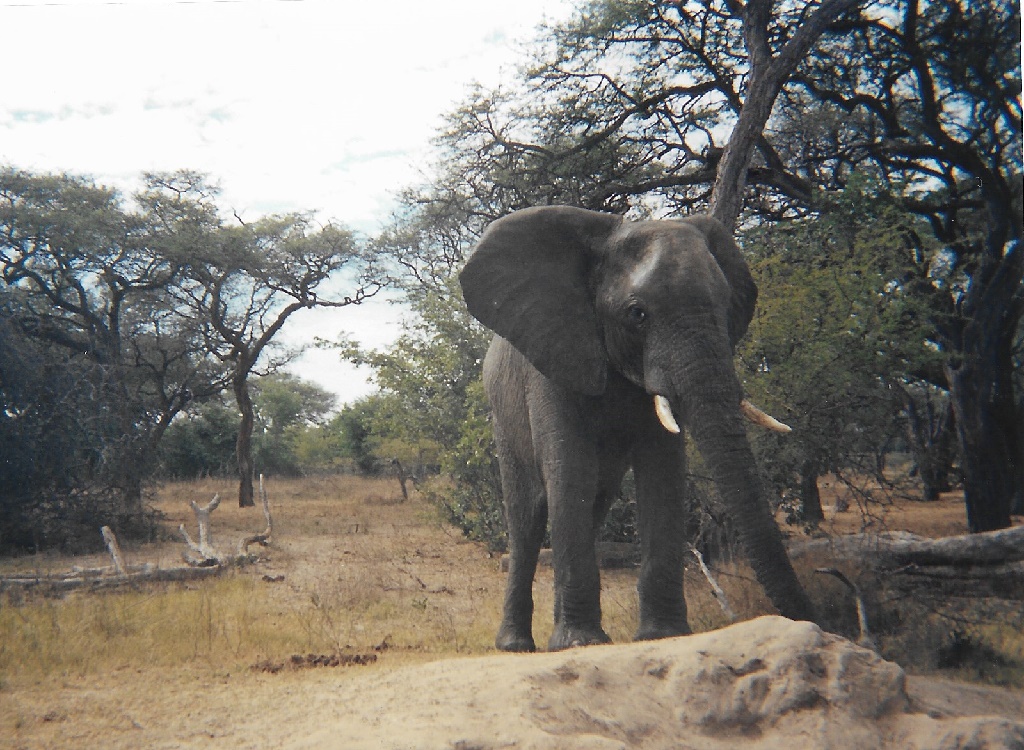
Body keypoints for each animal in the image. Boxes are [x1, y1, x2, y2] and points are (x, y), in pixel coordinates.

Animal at [459, 205, 815, 652]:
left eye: (725, 305)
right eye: (637, 314)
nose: (814, 619)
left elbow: (661, 473)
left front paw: (662, 635)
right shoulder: (551, 363)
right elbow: (570, 469)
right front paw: (581, 644)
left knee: (593, 505)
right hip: (502, 417)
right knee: (527, 517)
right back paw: (516, 646)